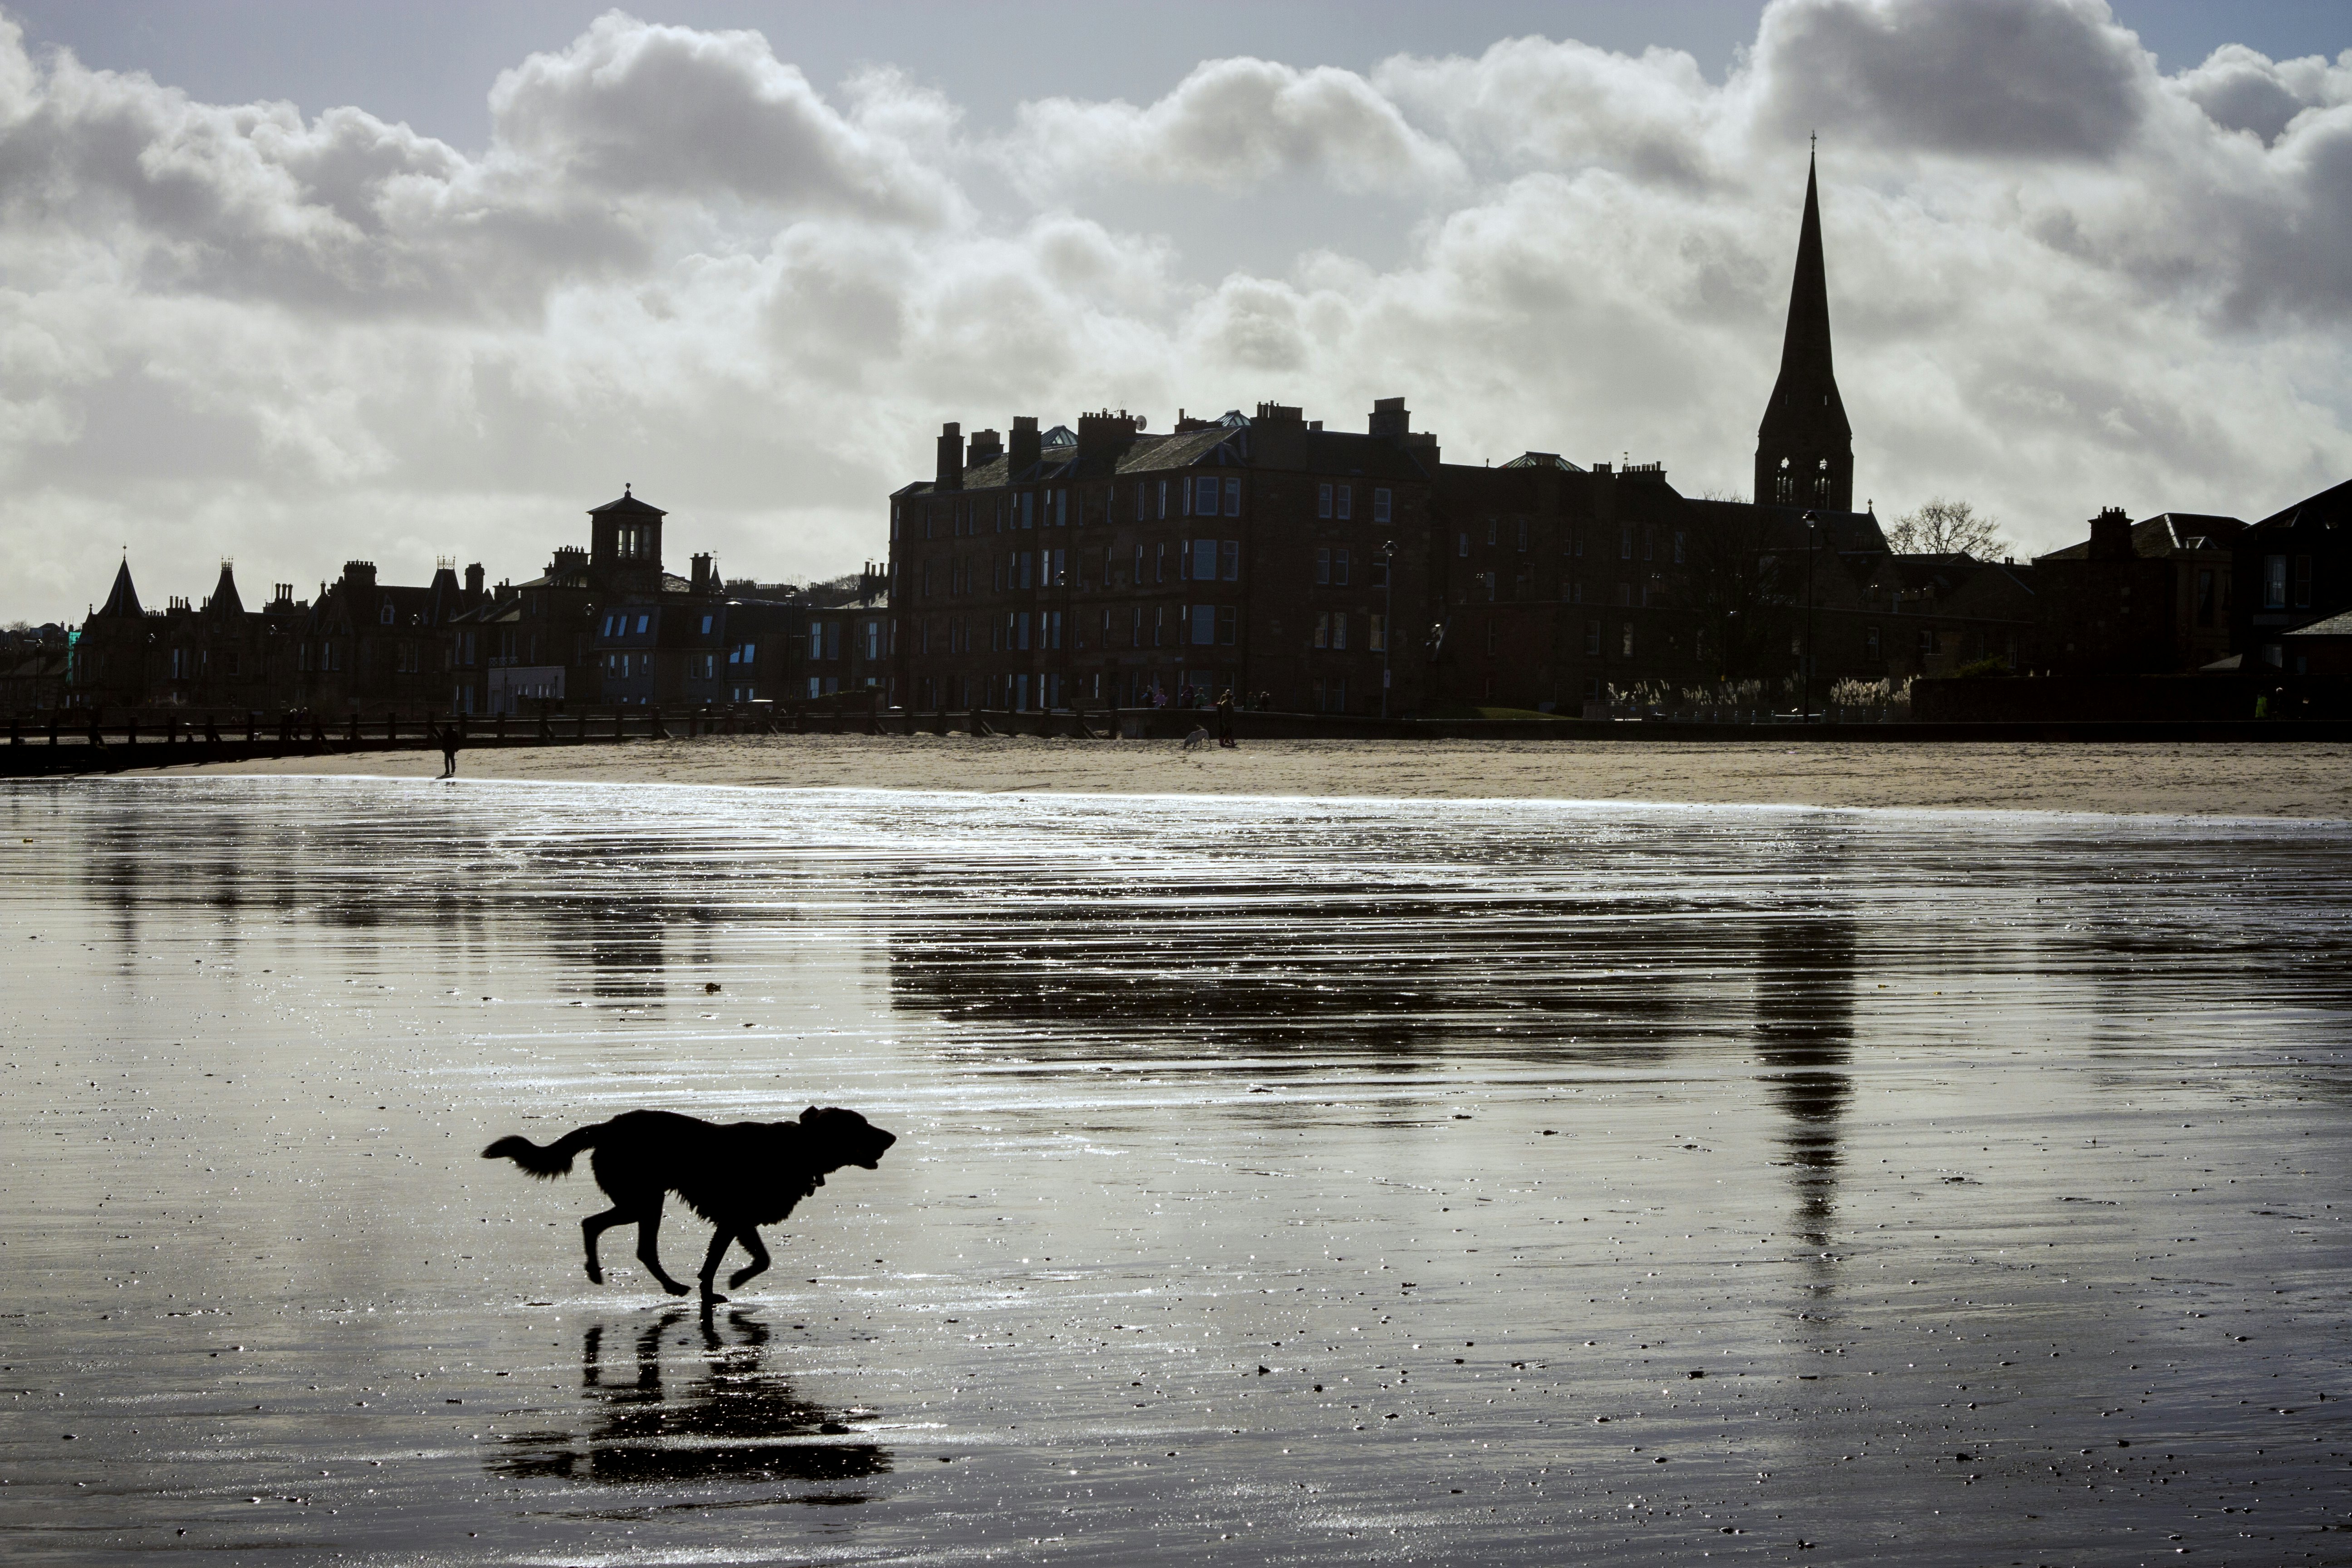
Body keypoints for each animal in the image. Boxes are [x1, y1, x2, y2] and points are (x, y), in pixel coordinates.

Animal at [482, 1109, 893, 1307]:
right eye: (861, 1125)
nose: (892, 1137)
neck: (799, 1149)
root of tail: (608, 1127)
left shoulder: (736, 1222)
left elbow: (739, 1261)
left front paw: (715, 1290)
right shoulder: (736, 1218)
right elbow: (752, 1261)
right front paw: (732, 1282)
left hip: (643, 1202)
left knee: (618, 1237)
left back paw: (659, 1284)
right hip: (643, 1200)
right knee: (602, 1229)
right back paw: (621, 1276)